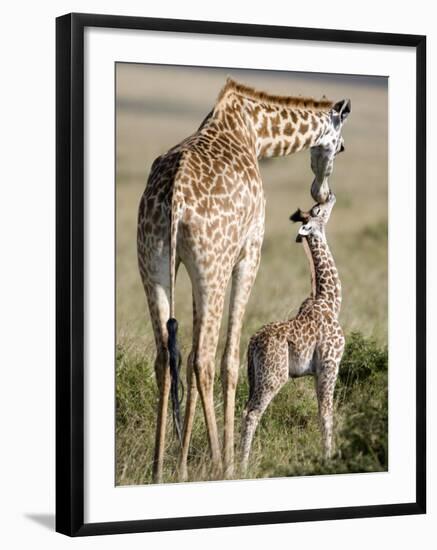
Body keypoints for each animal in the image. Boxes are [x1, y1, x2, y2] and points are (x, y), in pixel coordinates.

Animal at [238, 194, 344, 474]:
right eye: (318, 210)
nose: (331, 196)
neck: (331, 301)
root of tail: (251, 344)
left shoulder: (318, 371)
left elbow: (321, 412)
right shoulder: (330, 364)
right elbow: (326, 414)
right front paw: (329, 458)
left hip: (254, 376)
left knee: (244, 409)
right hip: (273, 376)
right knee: (252, 413)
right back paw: (241, 466)